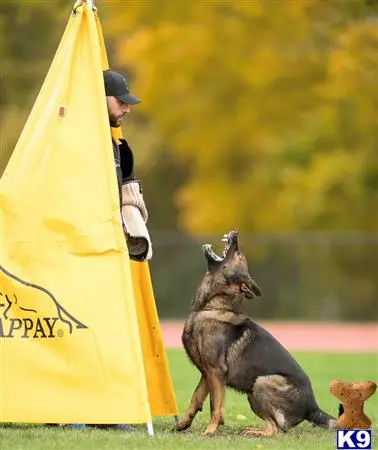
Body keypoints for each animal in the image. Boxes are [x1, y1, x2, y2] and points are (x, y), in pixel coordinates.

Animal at [176, 232, 336, 436]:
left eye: (239, 255)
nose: (235, 234)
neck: (213, 307)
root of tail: (312, 408)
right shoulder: (207, 373)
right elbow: (196, 398)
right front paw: (183, 423)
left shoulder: (216, 371)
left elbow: (216, 406)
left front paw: (211, 430)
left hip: (260, 383)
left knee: (275, 429)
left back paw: (255, 432)